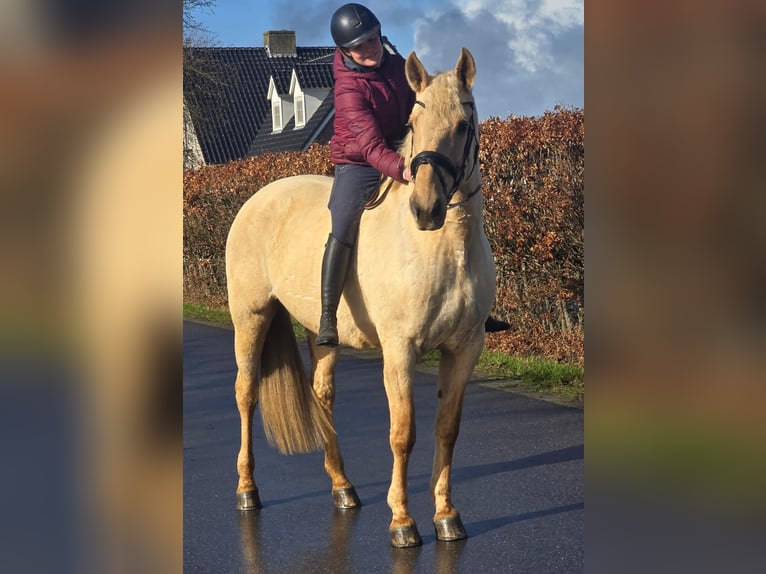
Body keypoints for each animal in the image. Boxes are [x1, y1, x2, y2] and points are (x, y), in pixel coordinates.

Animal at [225, 47, 496, 548]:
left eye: (463, 125)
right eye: (414, 123)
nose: (426, 210)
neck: (443, 249)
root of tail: (258, 198)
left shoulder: (465, 348)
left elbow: (447, 429)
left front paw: (446, 516)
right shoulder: (400, 350)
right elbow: (402, 433)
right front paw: (402, 522)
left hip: (320, 333)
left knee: (322, 395)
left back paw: (343, 488)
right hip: (250, 318)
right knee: (246, 394)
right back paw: (247, 490)